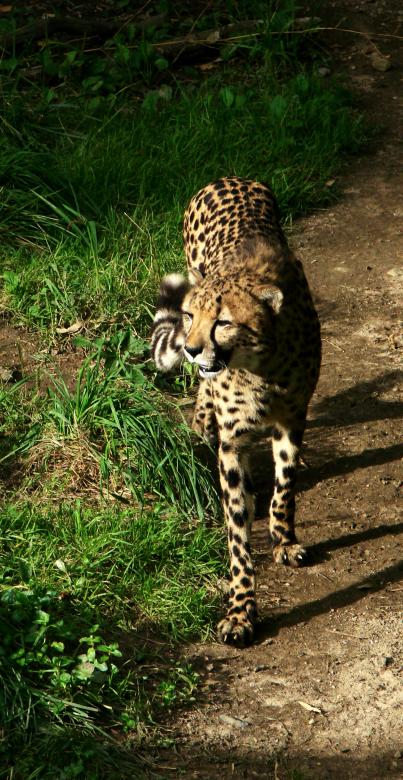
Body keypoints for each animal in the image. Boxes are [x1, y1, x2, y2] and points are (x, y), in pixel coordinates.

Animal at [151, 176, 321, 646]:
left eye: (223, 322)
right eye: (189, 316)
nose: (193, 349)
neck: (259, 366)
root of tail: (230, 178)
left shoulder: (292, 418)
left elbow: (285, 487)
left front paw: (283, 538)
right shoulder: (231, 443)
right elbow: (237, 536)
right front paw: (241, 610)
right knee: (205, 398)